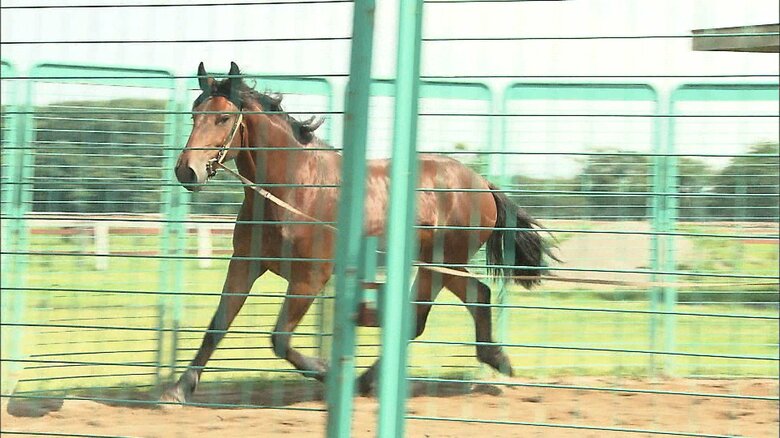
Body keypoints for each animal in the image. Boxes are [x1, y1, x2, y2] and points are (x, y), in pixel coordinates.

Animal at [160, 62, 555, 403]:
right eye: (194, 115)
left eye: (223, 117)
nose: (186, 171)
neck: (294, 189)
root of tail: (482, 184)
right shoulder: (244, 265)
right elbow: (217, 326)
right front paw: (178, 389)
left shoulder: (309, 278)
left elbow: (280, 338)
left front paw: (326, 371)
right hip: (439, 266)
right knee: (453, 304)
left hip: (442, 263)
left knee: (423, 315)